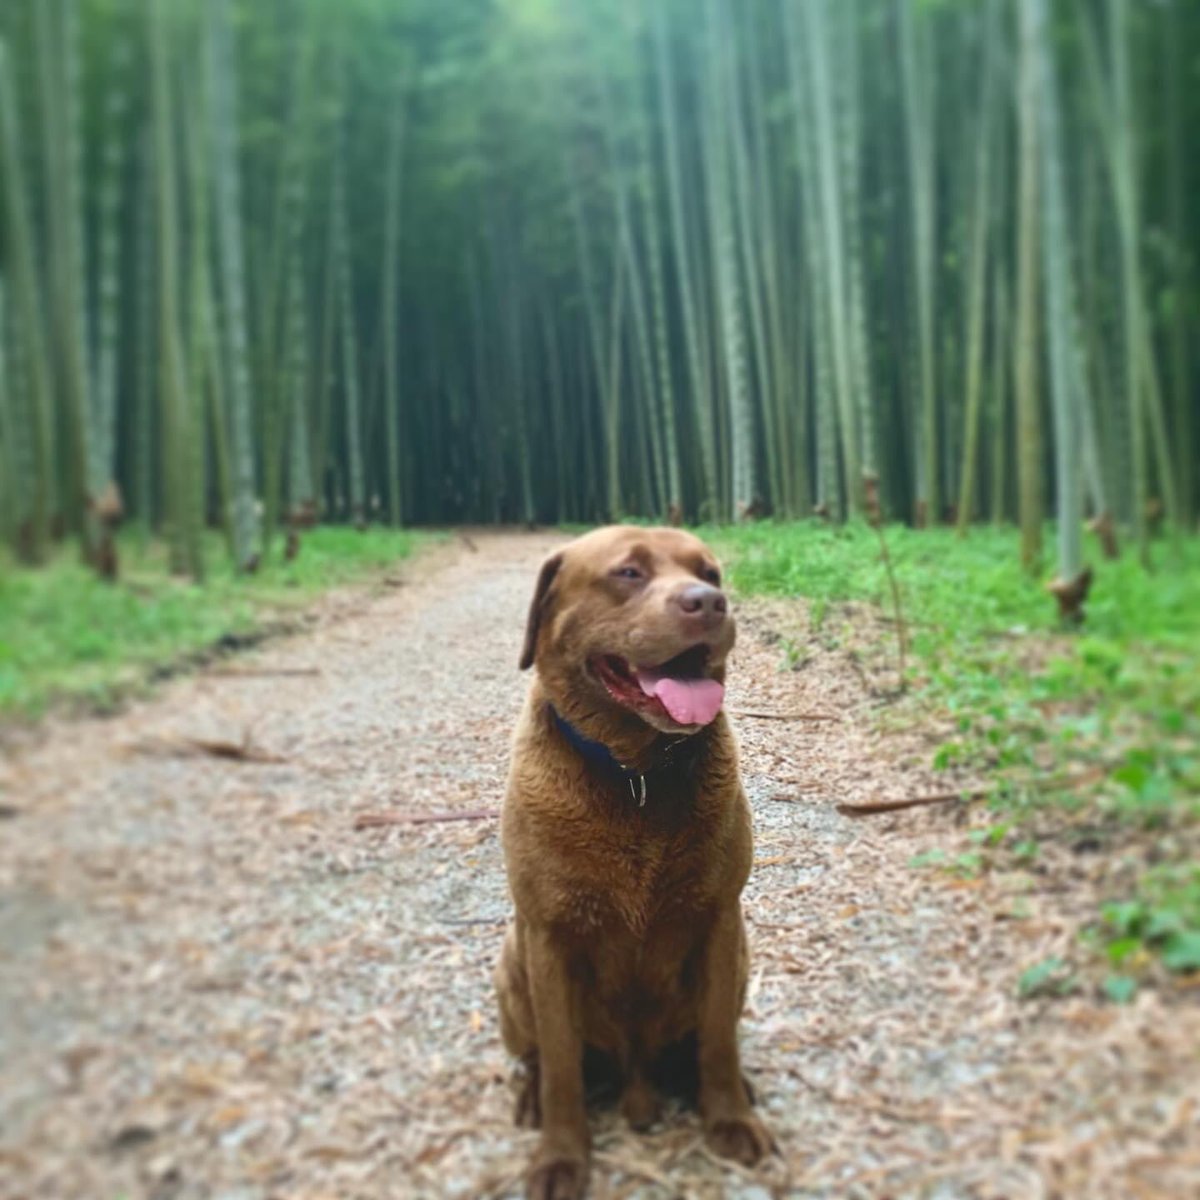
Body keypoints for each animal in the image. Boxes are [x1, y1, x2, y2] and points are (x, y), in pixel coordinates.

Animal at [492, 528, 772, 1200]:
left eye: (711, 574)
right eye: (627, 573)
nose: (708, 603)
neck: (636, 773)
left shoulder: (720, 921)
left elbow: (718, 1041)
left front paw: (729, 1118)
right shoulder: (548, 935)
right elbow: (561, 1064)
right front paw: (561, 1158)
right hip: (511, 966)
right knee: (536, 1056)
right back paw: (531, 1098)